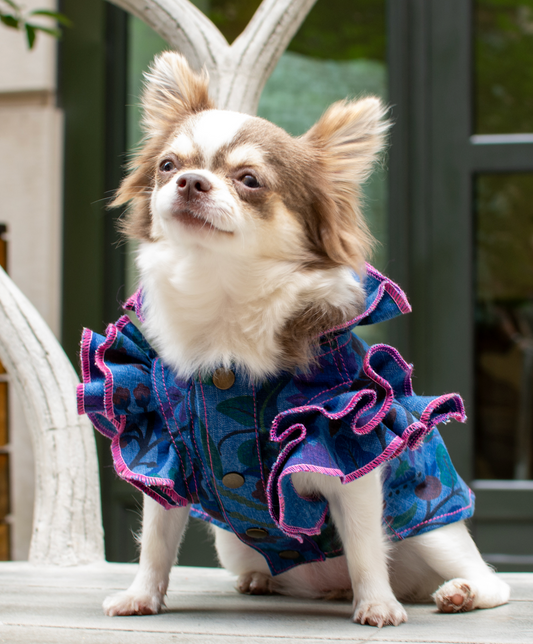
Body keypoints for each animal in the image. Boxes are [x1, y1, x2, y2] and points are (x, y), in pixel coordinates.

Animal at [97, 52, 510, 628]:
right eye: (168, 166)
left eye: (250, 179)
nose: (190, 182)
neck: (224, 293)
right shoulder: (162, 449)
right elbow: (156, 540)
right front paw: (142, 595)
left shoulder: (345, 444)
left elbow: (364, 543)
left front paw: (376, 604)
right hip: (234, 545)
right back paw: (269, 581)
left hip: (434, 531)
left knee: (487, 580)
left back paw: (454, 592)